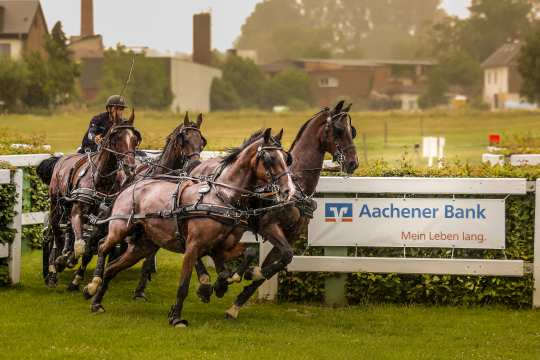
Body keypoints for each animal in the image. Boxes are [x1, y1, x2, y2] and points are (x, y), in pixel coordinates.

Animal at [39, 111, 141, 288]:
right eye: (116, 138)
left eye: (135, 139)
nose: (130, 168)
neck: (102, 178)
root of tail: (60, 159)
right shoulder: (77, 211)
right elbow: (80, 246)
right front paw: (63, 261)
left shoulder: (101, 220)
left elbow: (87, 247)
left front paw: (73, 265)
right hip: (56, 205)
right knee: (56, 233)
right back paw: (53, 268)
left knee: (68, 232)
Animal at [82, 128, 298, 328]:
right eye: (269, 158)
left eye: (287, 158)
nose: (289, 191)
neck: (221, 196)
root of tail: (129, 186)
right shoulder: (193, 246)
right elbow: (184, 285)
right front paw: (177, 317)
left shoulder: (220, 247)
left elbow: (243, 258)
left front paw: (233, 280)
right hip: (120, 229)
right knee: (102, 246)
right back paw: (92, 285)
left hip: (142, 246)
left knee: (112, 268)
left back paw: (97, 303)